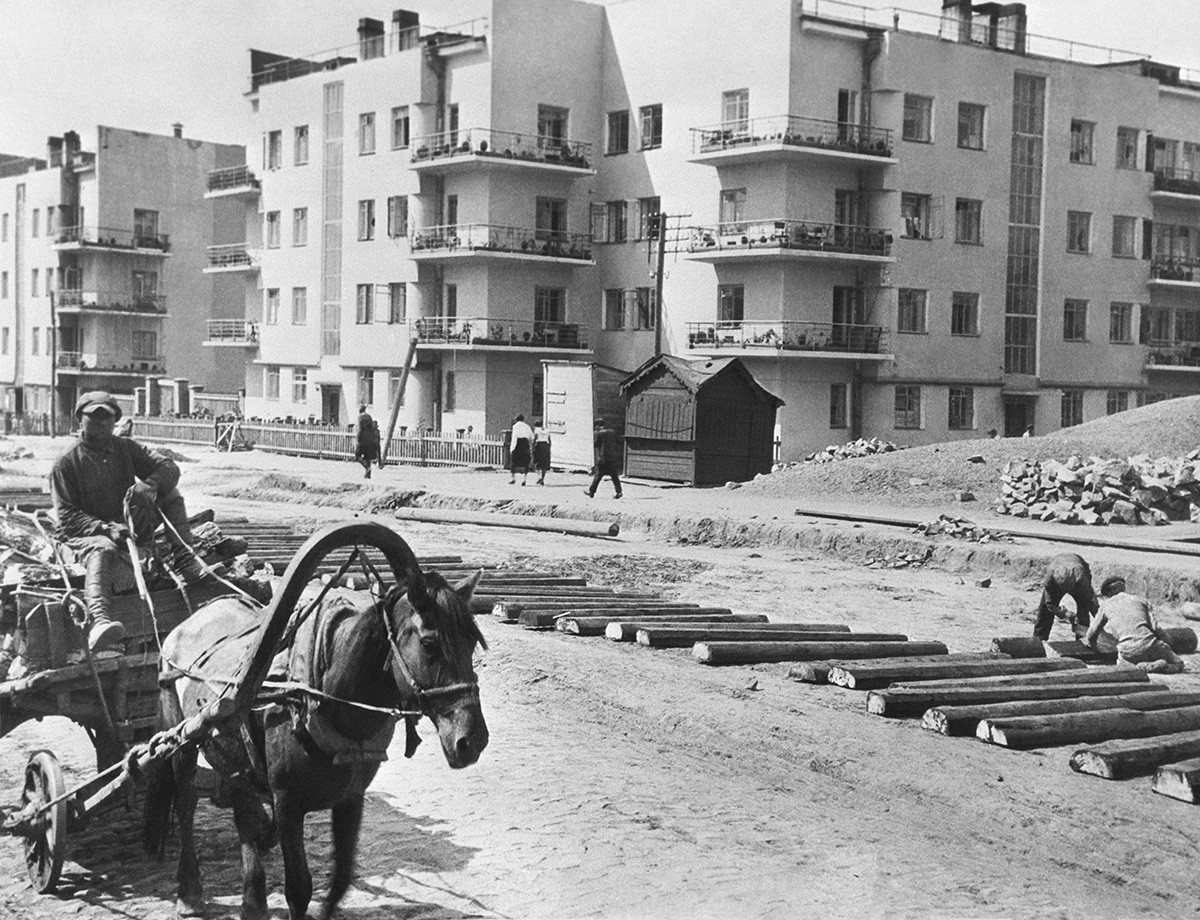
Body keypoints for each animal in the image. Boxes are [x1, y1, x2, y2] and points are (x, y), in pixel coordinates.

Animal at [144, 542, 487, 916]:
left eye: (471, 642)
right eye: (429, 643)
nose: (472, 740)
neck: (324, 697)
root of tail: (188, 621)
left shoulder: (351, 798)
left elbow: (341, 879)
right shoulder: (288, 803)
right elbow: (298, 887)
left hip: (233, 751)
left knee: (242, 808)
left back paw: (253, 899)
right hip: (181, 740)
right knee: (185, 801)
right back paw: (189, 893)